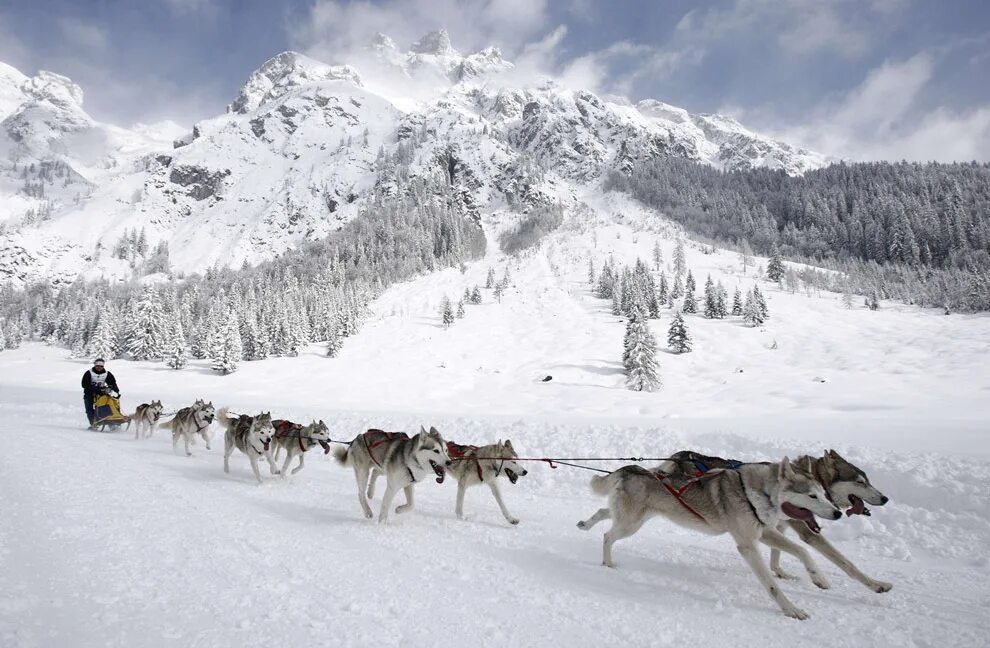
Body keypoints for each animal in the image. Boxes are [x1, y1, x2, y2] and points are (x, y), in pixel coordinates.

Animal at [580, 458, 844, 620]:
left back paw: (585, 524)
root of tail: (631, 469)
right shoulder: (748, 545)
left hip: (632, 519)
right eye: (811, 496)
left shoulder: (765, 533)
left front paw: (819, 578)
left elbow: (802, 551)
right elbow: (772, 585)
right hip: (630, 524)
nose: (838, 513)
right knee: (607, 535)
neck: (754, 493)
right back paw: (607, 562)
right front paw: (791, 609)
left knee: (603, 513)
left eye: (823, 493)